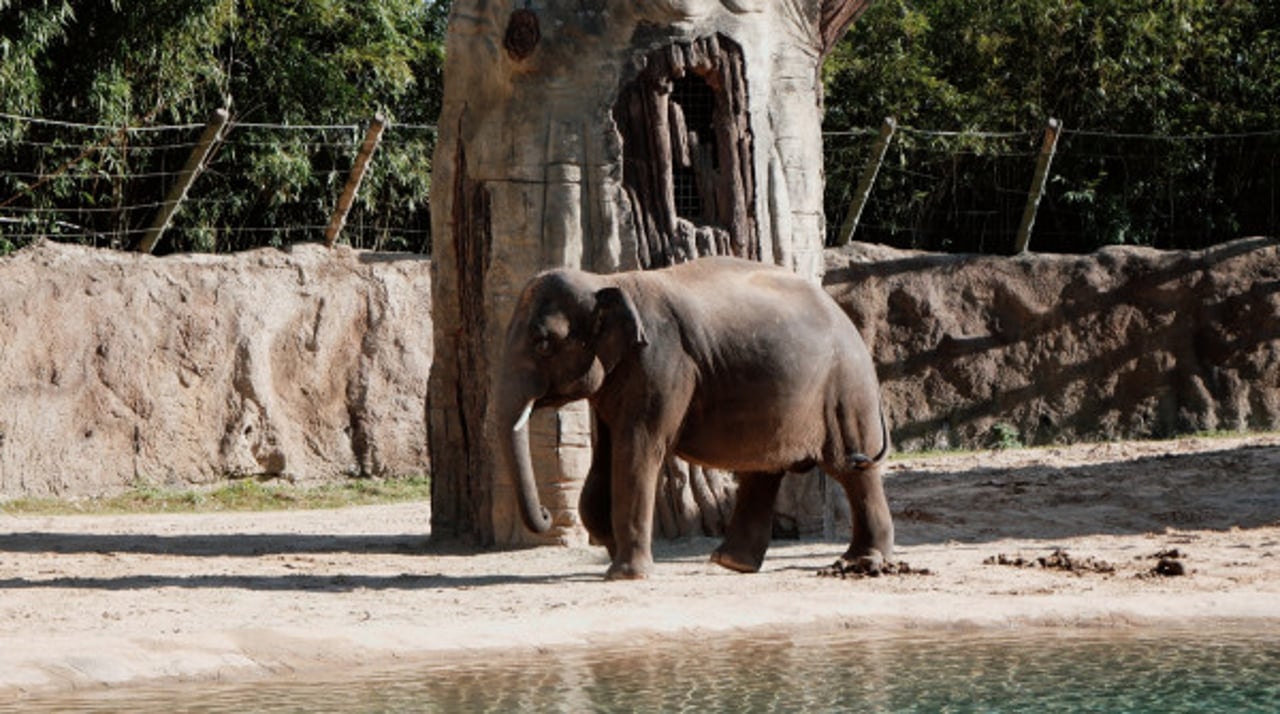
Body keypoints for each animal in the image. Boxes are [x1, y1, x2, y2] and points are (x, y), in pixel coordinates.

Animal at [494, 257, 896, 583]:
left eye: (543, 343)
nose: (546, 513)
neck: (607, 281)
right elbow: (604, 461)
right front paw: (610, 550)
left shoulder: (662, 363)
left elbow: (637, 451)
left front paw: (625, 574)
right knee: (765, 470)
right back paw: (732, 563)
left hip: (846, 390)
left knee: (851, 467)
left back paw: (860, 564)